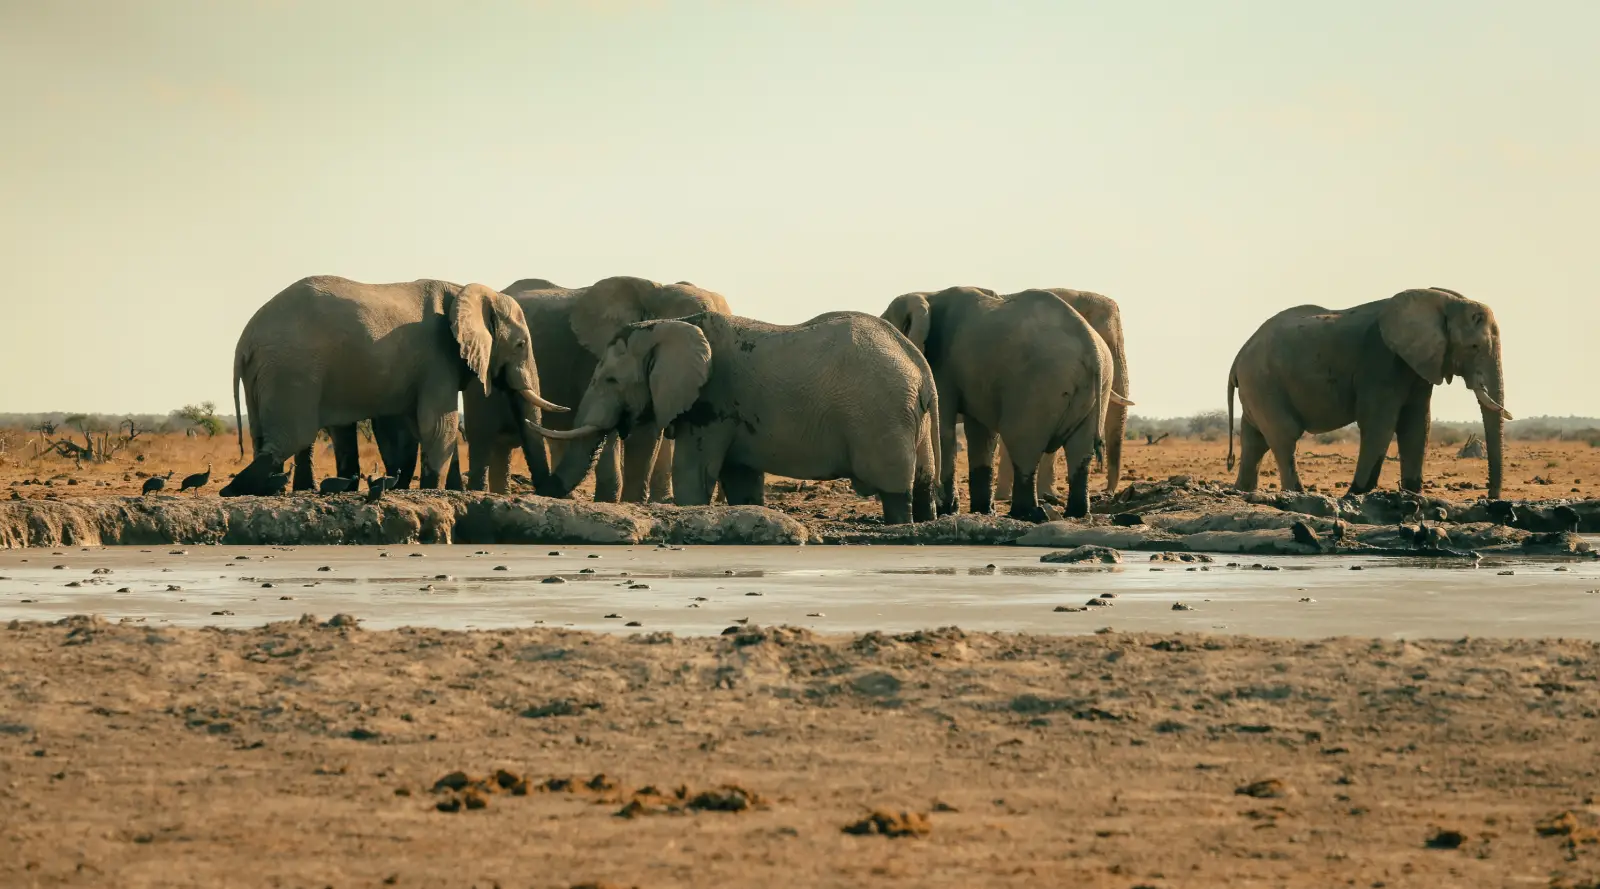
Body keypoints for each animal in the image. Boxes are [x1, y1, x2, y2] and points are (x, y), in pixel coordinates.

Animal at [220, 276, 563, 497]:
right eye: (520, 345)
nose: (548, 493)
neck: (466, 290)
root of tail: (245, 340)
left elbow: (413, 429)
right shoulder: (437, 357)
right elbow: (439, 425)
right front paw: (432, 489)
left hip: (266, 373)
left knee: (263, 436)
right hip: (292, 370)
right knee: (291, 437)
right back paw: (233, 489)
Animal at [460, 276, 731, 499]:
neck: (655, 289)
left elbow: (648, 431)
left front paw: (643, 502)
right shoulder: (595, 357)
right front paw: (609, 501)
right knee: (487, 434)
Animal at [529, 311, 941, 524]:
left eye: (611, 380)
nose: (542, 490)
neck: (672, 323)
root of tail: (920, 367)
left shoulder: (711, 403)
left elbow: (693, 474)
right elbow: (740, 480)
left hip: (881, 418)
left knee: (895, 489)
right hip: (907, 418)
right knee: (922, 483)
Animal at [1226, 286, 1511, 498]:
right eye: (1474, 347)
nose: (1489, 498)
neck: (1444, 301)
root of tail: (1238, 357)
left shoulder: (1416, 364)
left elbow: (1417, 423)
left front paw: (1412, 494)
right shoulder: (1381, 360)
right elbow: (1380, 423)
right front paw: (1355, 494)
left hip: (1256, 388)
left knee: (1255, 440)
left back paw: (1243, 492)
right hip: (1263, 382)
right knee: (1284, 436)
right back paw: (1297, 494)